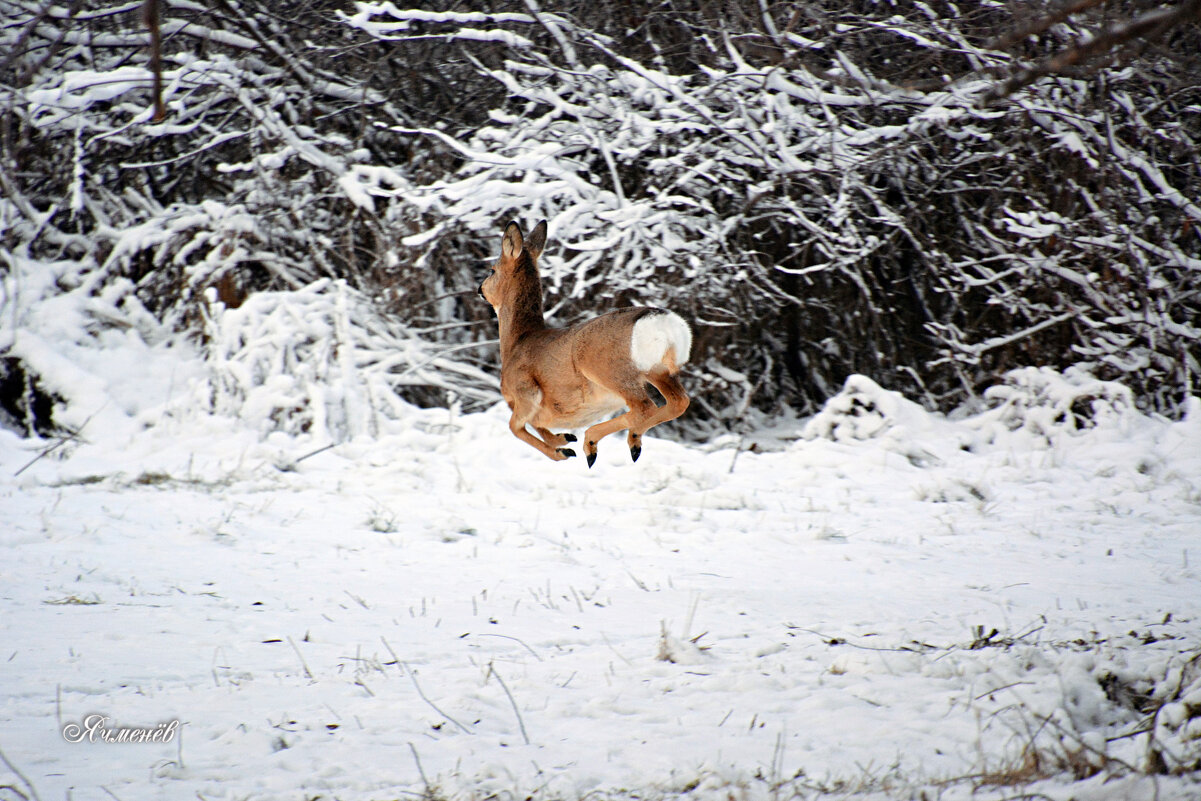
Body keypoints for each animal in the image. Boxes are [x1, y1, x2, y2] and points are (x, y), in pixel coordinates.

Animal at [475, 222, 691, 465]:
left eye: (492, 270)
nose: (480, 289)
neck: (516, 342)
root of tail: (664, 323)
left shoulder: (524, 391)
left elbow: (515, 427)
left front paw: (562, 452)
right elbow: (537, 426)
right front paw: (564, 438)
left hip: (608, 370)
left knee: (645, 407)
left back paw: (591, 443)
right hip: (658, 371)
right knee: (678, 402)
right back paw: (631, 443)